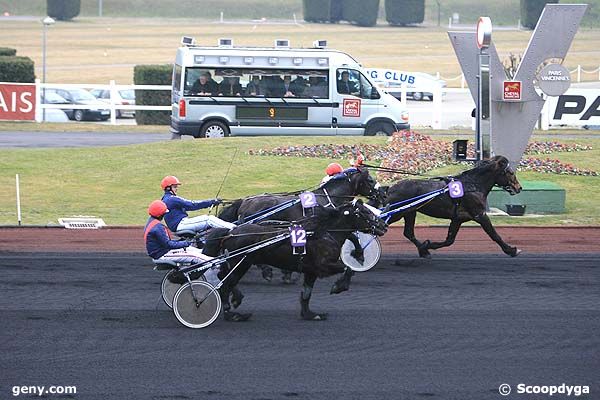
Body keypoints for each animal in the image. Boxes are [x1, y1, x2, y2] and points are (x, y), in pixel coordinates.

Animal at [204, 200, 386, 322]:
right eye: (365, 213)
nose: (383, 225)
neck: (324, 233)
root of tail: (230, 232)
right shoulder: (323, 266)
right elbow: (348, 269)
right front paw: (338, 286)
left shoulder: (311, 271)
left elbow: (306, 293)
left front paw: (310, 314)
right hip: (241, 263)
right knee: (225, 285)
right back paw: (232, 314)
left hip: (237, 263)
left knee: (223, 278)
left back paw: (236, 299)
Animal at [384, 155, 520, 258]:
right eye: (510, 172)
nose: (519, 187)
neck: (472, 185)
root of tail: (391, 188)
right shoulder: (480, 215)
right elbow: (494, 235)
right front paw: (512, 250)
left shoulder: (458, 218)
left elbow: (449, 240)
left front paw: (427, 245)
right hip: (397, 213)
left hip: (410, 212)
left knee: (409, 233)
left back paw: (424, 251)